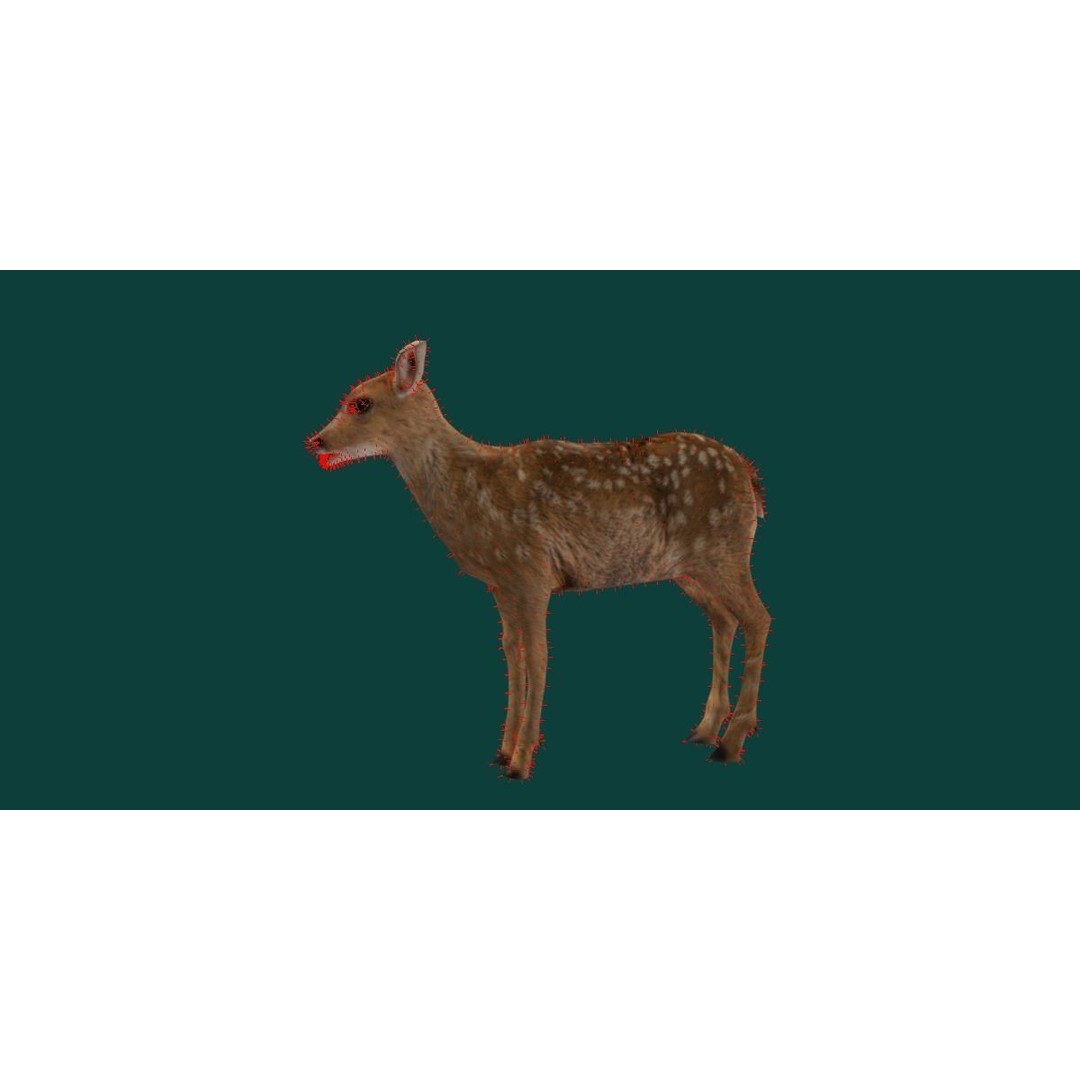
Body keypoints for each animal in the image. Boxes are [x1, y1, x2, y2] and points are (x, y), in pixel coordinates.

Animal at [305, 340, 771, 780]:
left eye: (361, 402)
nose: (315, 441)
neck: (472, 487)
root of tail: (749, 476)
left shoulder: (531, 571)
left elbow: (538, 656)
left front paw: (521, 763)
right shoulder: (502, 583)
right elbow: (512, 654)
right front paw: (502, 752)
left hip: (725, 549)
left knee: (757, 617)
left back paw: (730, 743)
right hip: (689, 568)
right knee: (724, 619)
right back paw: (705, 730)